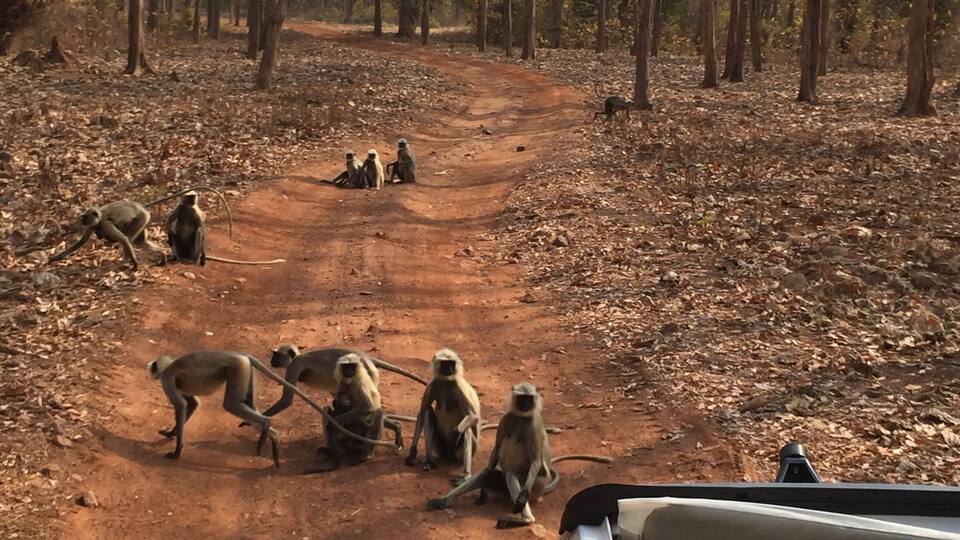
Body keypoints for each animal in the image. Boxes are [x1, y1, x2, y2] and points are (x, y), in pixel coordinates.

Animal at [147, 350, 395, 468]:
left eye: (154, 368)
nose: (150, 370)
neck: (170, 365)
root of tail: (242, 355)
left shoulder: (167, 379)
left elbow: (181, 405)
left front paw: (177, 449)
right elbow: (191, 404)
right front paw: (170, 433)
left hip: (237, 368)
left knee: (232, 404)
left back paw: (267, 429)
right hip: (243, 370)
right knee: (246, 403)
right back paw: (267, 435)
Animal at [405, 349, 481, 483]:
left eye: (451, 363)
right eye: (445, 363)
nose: (449, 369)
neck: (446, 381)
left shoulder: (458, 385)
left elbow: (474, 416)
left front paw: (456, 432)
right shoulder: (432, 384)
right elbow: (421, 413)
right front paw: (412, 453)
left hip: (466, 451)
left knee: (466, 430)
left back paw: (466, 474)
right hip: (440, 447)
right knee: (428, 412)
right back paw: (429, 461)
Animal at [426, 383, 612, 529]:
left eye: (529, 399)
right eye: (522, 398)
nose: (525, 404)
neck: (521, 417)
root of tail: (542, 489)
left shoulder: (534, 423)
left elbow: (536, 459)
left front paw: (522, 500)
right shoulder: (506, 418)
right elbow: (496, 450)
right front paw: (481, 491)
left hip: (534, 486)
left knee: (511, 474)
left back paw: (526, 519)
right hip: (503, 487)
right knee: (488, 473)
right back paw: (444, 501)